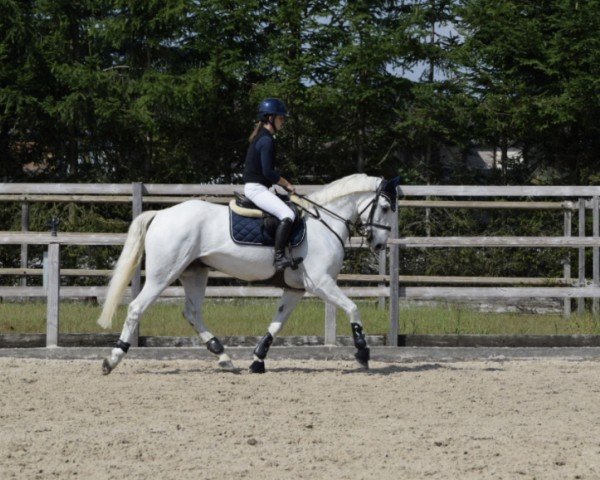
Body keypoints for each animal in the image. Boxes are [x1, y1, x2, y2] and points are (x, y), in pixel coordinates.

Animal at [97, 174, 398, 374]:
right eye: (385, 207)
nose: (379, 244)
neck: (324, 223)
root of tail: (161, 214)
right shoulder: (321, 283)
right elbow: (352, 307)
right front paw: (362, 351)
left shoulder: (295, 289)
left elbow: (277, 324)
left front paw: (257, 360)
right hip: (164, 274)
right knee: (136, 308)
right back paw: (113, 358)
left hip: (194, 273)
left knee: (192, 312)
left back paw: (223, 356)